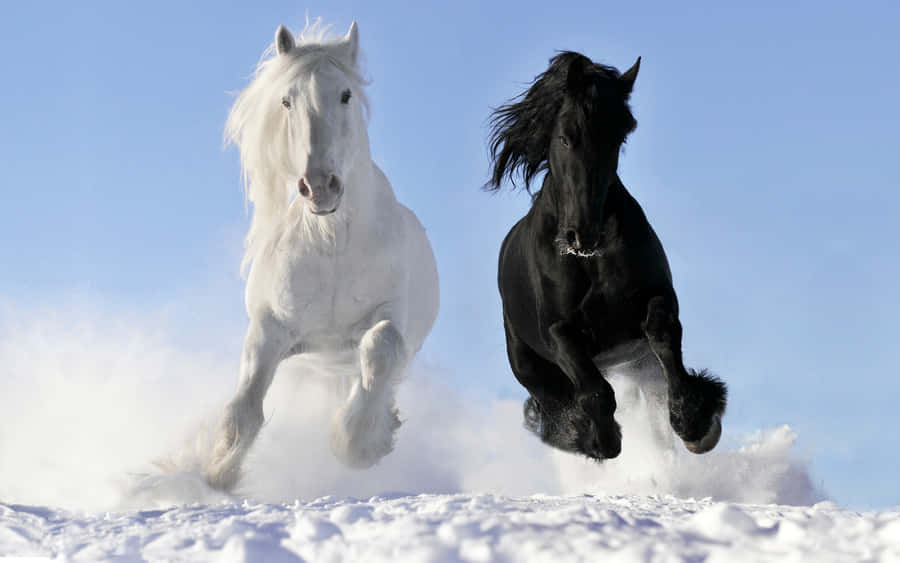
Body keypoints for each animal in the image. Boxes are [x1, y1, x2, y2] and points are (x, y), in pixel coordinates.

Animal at [205, 21, 439, 490]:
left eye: (346, 94)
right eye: (286, 100)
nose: (319, 187)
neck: (331, 245)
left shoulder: (391, 316)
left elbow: (381, 348)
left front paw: (357, 445)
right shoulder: (271, 329)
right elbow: (244, 408)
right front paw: (218, 472)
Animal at [487, 52, 727, 462]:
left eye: (618, 137)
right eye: (565, 136)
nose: (583, 234)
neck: (589, 260)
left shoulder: (655, 298)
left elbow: (664, 335)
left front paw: (695, 423)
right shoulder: (558, 331)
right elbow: (594, 390)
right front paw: (600, 439)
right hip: (530, 365)